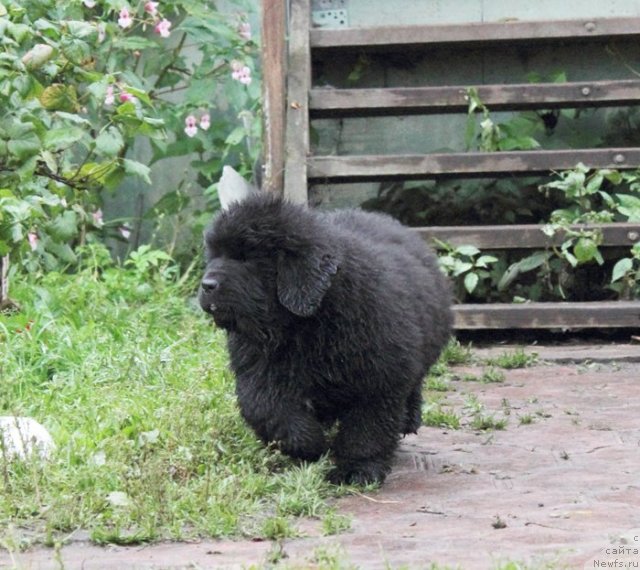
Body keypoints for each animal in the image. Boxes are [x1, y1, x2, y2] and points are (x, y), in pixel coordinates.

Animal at [198, 193, 452, 482]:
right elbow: (269, 410)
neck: (303, 327)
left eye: (248, 258)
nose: (206, 285)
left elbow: (367, 429)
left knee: (413, 388)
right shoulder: (258, 369)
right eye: (214, 255)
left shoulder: (380, 378)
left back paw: (409, 420)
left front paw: (358, 470)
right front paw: (310, 445)